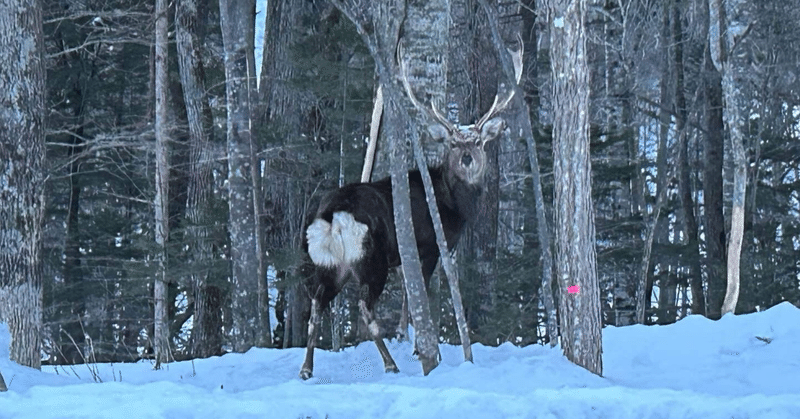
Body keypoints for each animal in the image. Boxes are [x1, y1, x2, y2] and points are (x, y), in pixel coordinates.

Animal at [300, 40, 524, 380]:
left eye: (479, 142)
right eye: (453, 144)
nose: (468, 159)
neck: (452, 203)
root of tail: (332, 215)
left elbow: (409, 294)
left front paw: (410, 340)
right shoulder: (428, 246)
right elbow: (423, 296)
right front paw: (422, 348)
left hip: (330, 263)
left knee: (315, 304)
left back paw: (306, 369)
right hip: (370, 258)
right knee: (364, 307)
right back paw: (390, 364)